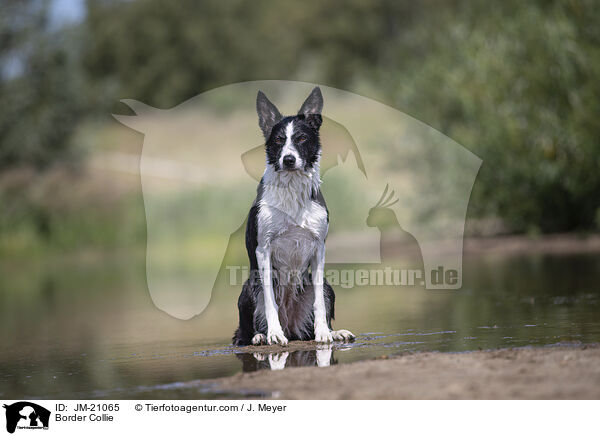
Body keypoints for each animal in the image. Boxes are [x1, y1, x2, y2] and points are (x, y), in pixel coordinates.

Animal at [233, 87, 356, 348]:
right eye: (279, 140)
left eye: (301, 139)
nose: (288, 159)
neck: (292, 191)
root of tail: (291, 327)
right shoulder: (263, 250)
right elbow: (270, 301)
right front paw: (273, 334)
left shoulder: (319, 248)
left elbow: (319, 303)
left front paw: (324, 333)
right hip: (250, 287)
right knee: (242, 333)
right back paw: (261, 335)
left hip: (327, 287)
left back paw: (334, 332)